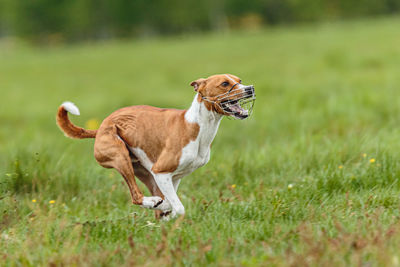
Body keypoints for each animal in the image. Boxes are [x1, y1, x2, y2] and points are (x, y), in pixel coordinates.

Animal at [55, 74, 256, 221]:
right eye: (224, 83)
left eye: (239, 81)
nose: (250, 88)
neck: (197, 127)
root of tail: (100, 128)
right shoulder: (161, 172)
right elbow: (178, 207)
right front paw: (166, 208)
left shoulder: (172, 177)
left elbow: (171, 205)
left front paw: (165, 214)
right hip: (121, 156)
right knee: (136, 196)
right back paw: (154, 203)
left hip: (145, 173)